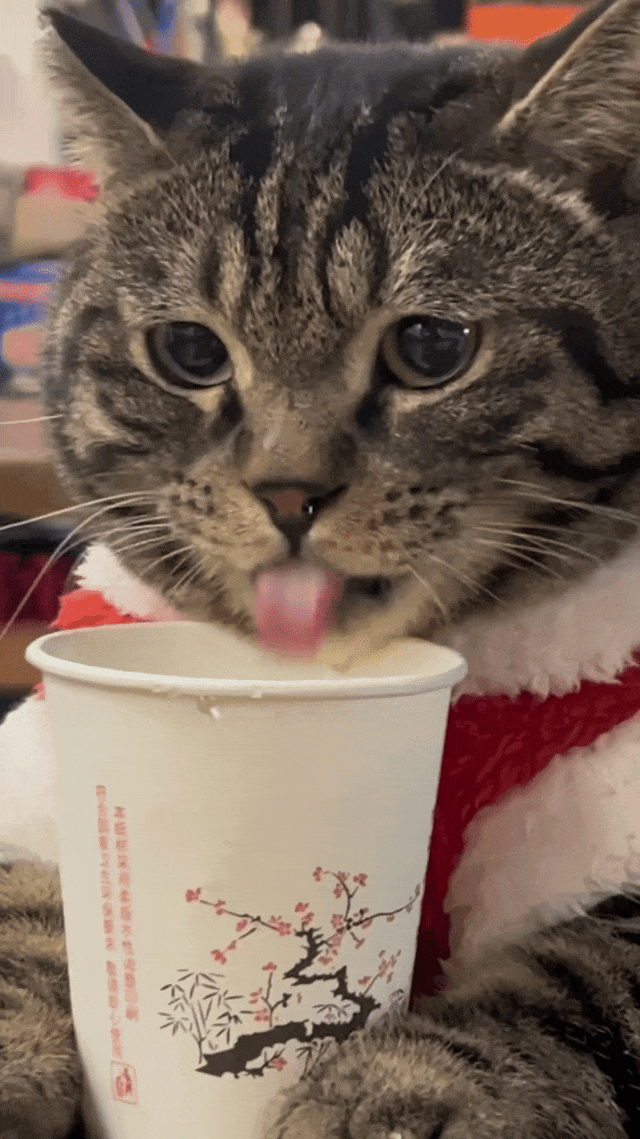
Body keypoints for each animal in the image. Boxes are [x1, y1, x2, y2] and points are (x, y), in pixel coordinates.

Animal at [4, 0, 640, 1135]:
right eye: (189, 352)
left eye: (431, 347)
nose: (289, 492)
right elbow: (26, 907)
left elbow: (572, 970)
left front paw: (409, 1084)